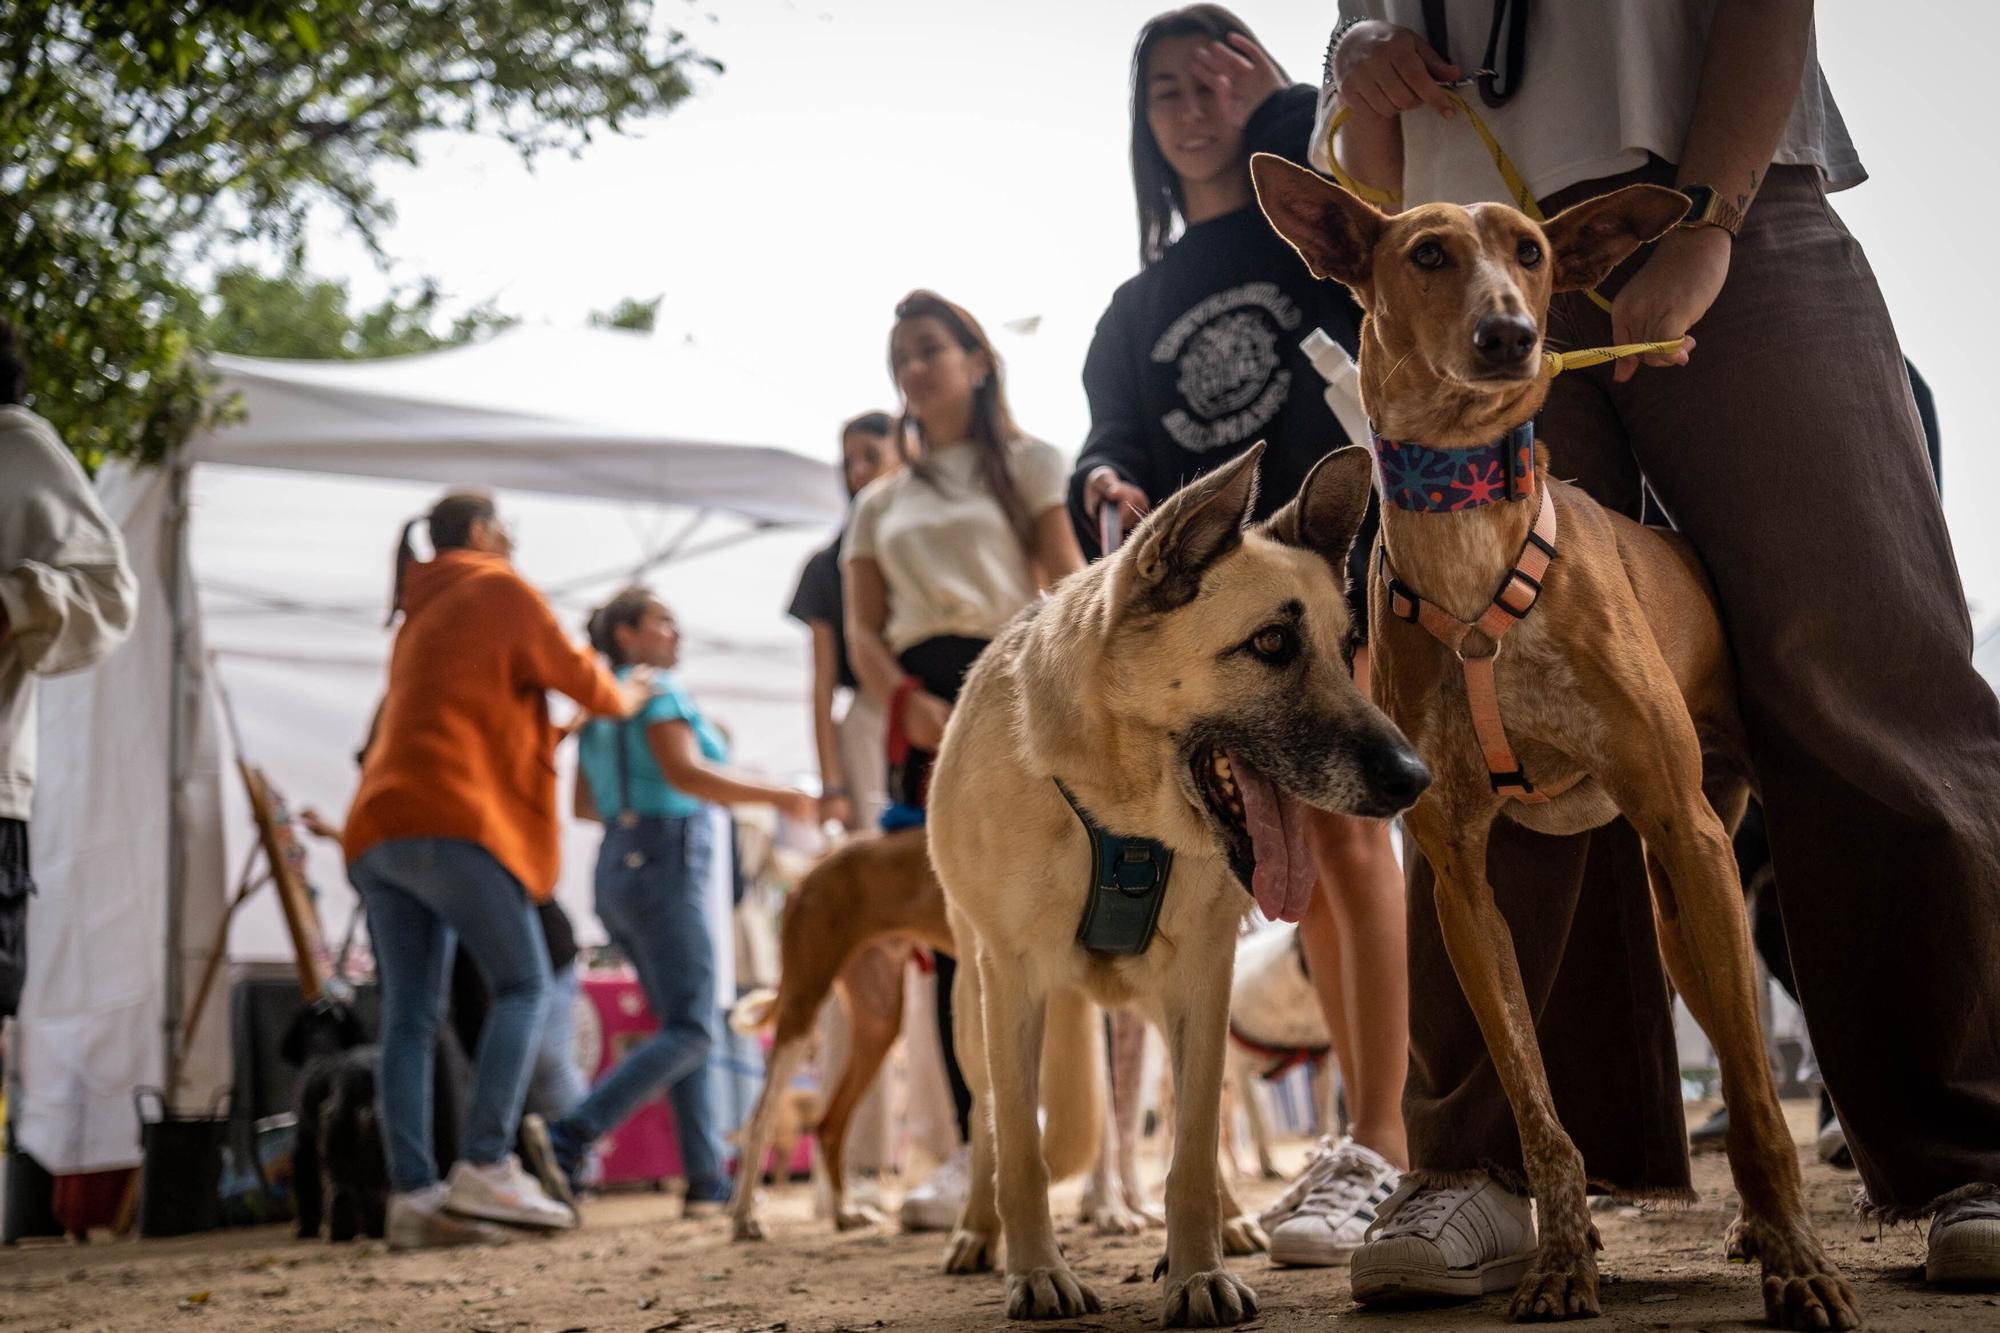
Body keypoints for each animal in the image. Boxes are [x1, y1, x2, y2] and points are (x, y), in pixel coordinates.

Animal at [928, 444, 1432, 1320]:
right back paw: (979, 1232)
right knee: (990, 1121)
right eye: (1271, 643)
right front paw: (1036, 1270)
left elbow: (1192, 1150)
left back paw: (1228, 1221)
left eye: (1348, 650)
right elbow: (1020, 1147)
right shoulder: (1011, 982)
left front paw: (1198, 1270)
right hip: (970, 1008)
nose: (1414, 778)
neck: (1117, 816)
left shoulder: (1202, 975)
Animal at [1256, 150, 1864, 1320]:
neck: (1468, 538)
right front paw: (1557, 1258)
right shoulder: (1458, 878)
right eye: (1428, 253)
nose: (1509, 334)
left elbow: (1760, 1103)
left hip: (1712, 870)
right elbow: (1535, 1104)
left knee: (1762, 1072)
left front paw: (1803, 1268)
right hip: (1682, 915)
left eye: (1531, 253)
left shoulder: (1680, 822)